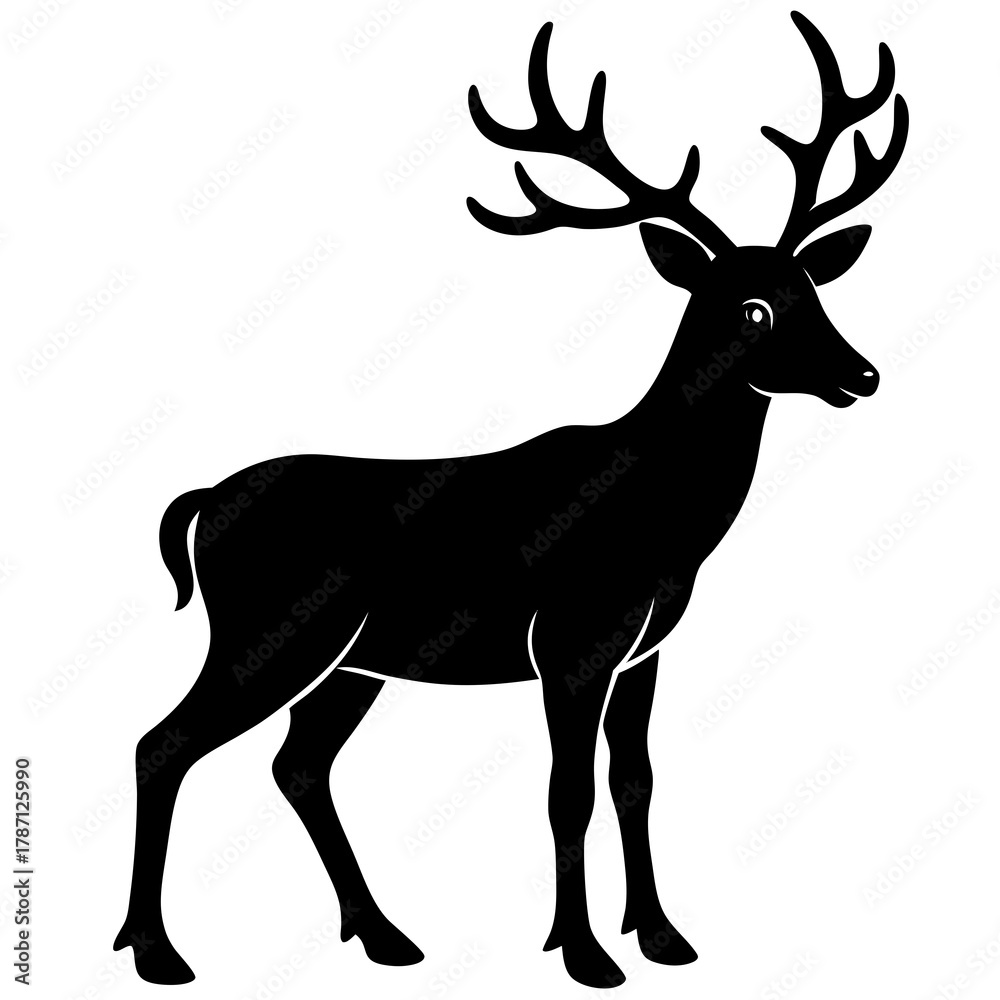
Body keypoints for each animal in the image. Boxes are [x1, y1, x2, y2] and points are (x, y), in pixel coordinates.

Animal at [113, 11, 907, 990]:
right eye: (751, 308)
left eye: (815, 289)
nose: (863, 375)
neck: (666, 520)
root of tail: (199, 506)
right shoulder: (571, 636)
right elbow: (568, 793)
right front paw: (584, 953)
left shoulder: (644, 648)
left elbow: (635, 780)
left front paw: (662, 936)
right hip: (268, 633)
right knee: (163, 743)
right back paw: (157, 951)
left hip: (350, 661)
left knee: (296, 764)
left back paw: (382, 934)